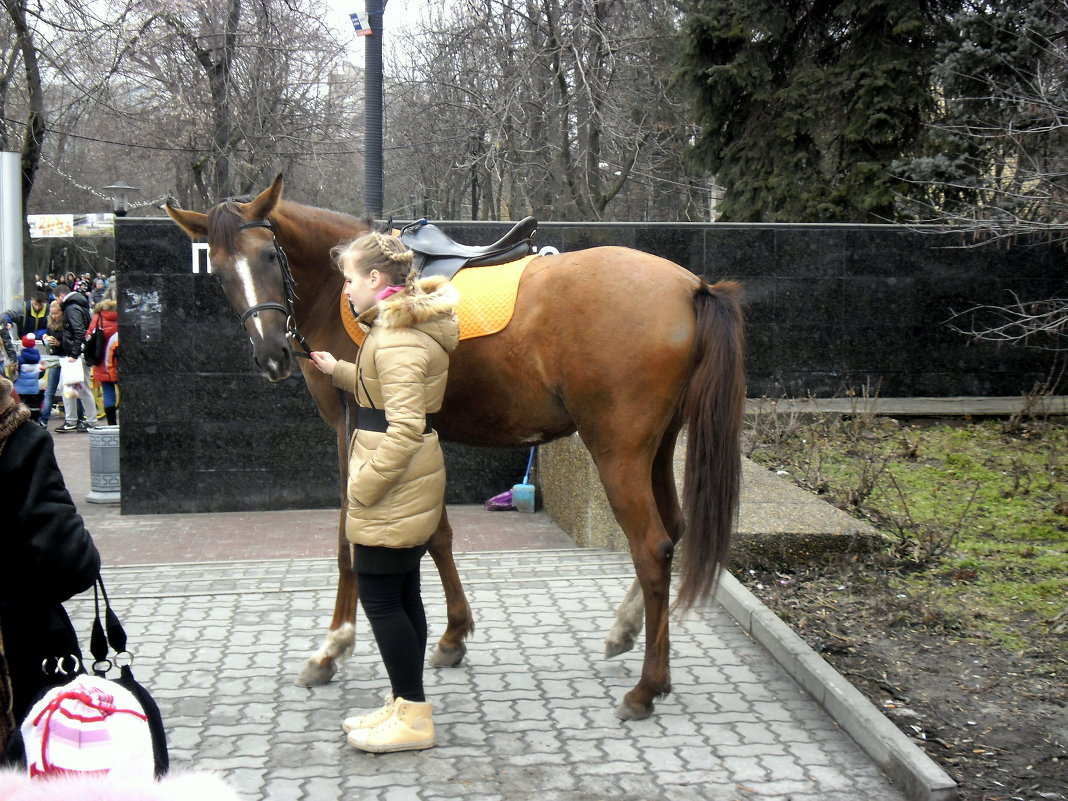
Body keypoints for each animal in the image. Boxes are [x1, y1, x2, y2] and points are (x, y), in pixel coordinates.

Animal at [166, 178, 747, 726]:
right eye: (218, 271)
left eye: (269, 255)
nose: (272, 355)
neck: (349, 296)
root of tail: (691, 286)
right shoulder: (418, 436)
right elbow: (436, 534)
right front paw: (453, 634)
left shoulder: (356, 431)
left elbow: (349, 536)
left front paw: (333, 647)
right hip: (658, 447)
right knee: (674, 528)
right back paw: (626, 630)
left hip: (617, 452)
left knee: (652, 547)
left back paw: (646, 688)